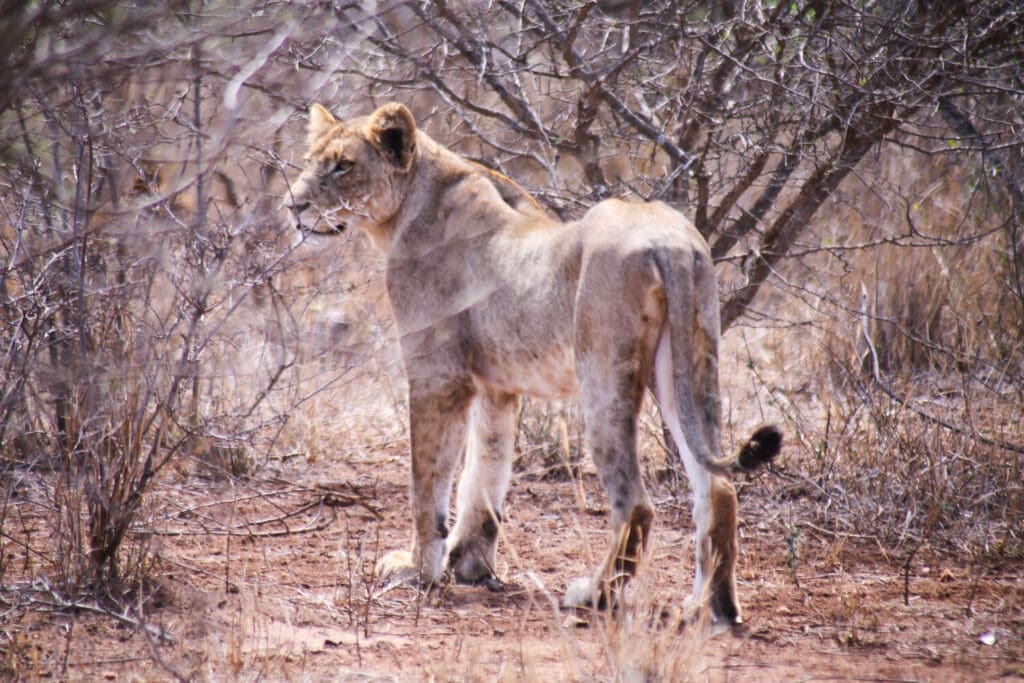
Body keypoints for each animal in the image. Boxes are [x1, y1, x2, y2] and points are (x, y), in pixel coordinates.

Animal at [288, 100, 782, 626]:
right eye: (311, 160)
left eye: (344, 165)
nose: (293, 206)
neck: (408, 207)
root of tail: (670, 242)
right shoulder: (495, 386)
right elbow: (483, 476)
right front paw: (470, 565)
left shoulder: (436, 375)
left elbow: (429, 483)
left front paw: (419, 570)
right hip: (689, 366)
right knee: (719, 488)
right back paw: (713, 606)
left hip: (602, 374)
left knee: (636, 505)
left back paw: (594, 594)